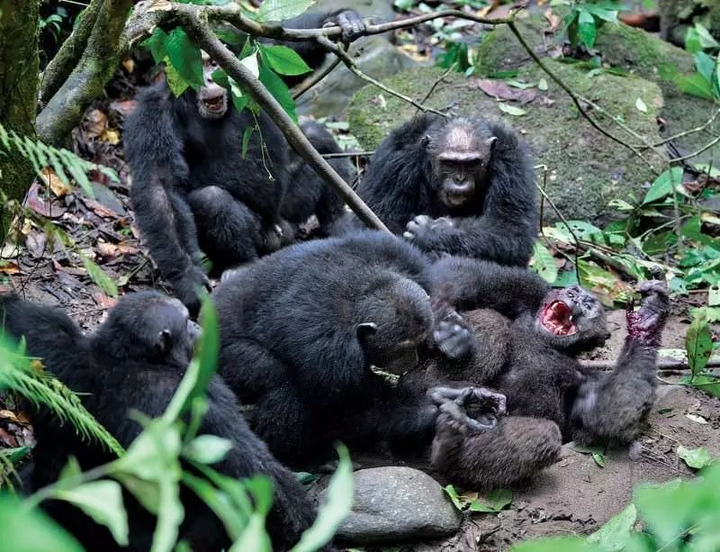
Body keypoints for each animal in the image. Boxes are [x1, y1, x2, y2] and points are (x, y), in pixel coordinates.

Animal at [123, 8, 366, 314]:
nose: (210, 78)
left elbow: (277, 52)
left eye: (213, 61)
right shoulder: (152, 116)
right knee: (211, 200)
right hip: (260, 236)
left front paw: (340, 20)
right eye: (196, 65)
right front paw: (189, 280)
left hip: (289, 209)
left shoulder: (247, 68)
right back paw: (240, 265)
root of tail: (279, 233)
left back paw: (338, 222)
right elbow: (160, 185)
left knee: (316, 140)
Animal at [210, 231, 490, 468]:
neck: (363, 286)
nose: (412, 359)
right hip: (222, 357)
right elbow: (347, 412)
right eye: (401, 349)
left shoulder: (398, 252)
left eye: (418, 343)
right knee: (279, 383)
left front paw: (451, 332)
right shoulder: (328, 358)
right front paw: (440, 407)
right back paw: (302, 459)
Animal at [334, 113, 536, 266]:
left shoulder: (511, 161)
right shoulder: (393, 160)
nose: (460, 179)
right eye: (450, 163)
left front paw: (433, 231)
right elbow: (377, 221)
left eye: (472, 164)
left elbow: (510, 227)